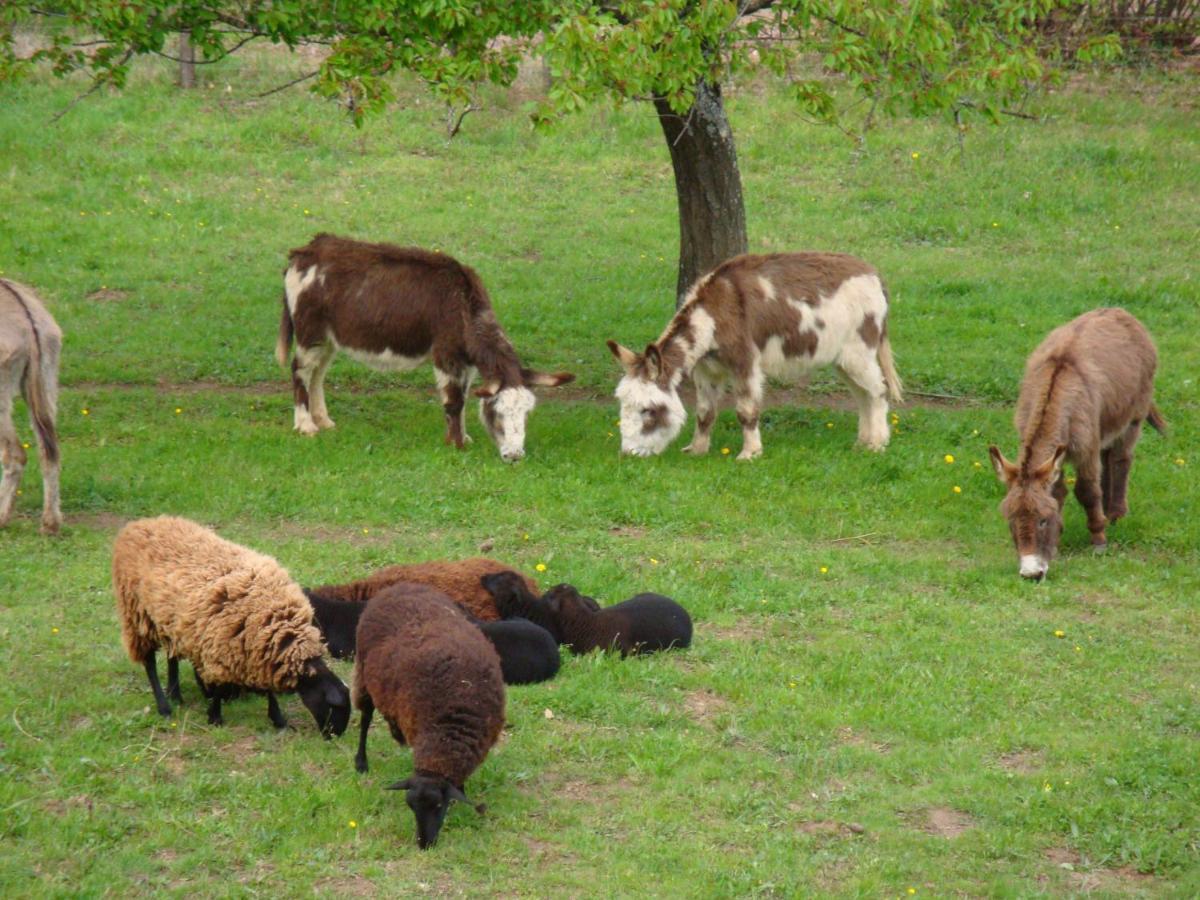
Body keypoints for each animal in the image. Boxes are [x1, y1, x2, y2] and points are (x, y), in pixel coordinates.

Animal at [112, 518, 350, 734]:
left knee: (172, 655)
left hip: (169, 620)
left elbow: (268, 690)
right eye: (334, 707)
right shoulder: (223, 645)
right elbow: (219, 687)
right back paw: (164, 707)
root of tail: (137, 525)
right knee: (149, 662)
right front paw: (215, 717)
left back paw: (175, 695)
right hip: (136, 614)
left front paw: (278, 720)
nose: (333, 736)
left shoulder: (258, 649)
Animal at [355, 585, 506, 854]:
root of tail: (398, 586)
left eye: (438, 806)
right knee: (365, 719)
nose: (424, 844)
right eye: (410, 807)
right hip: (364, 674)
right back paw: (361, 762)